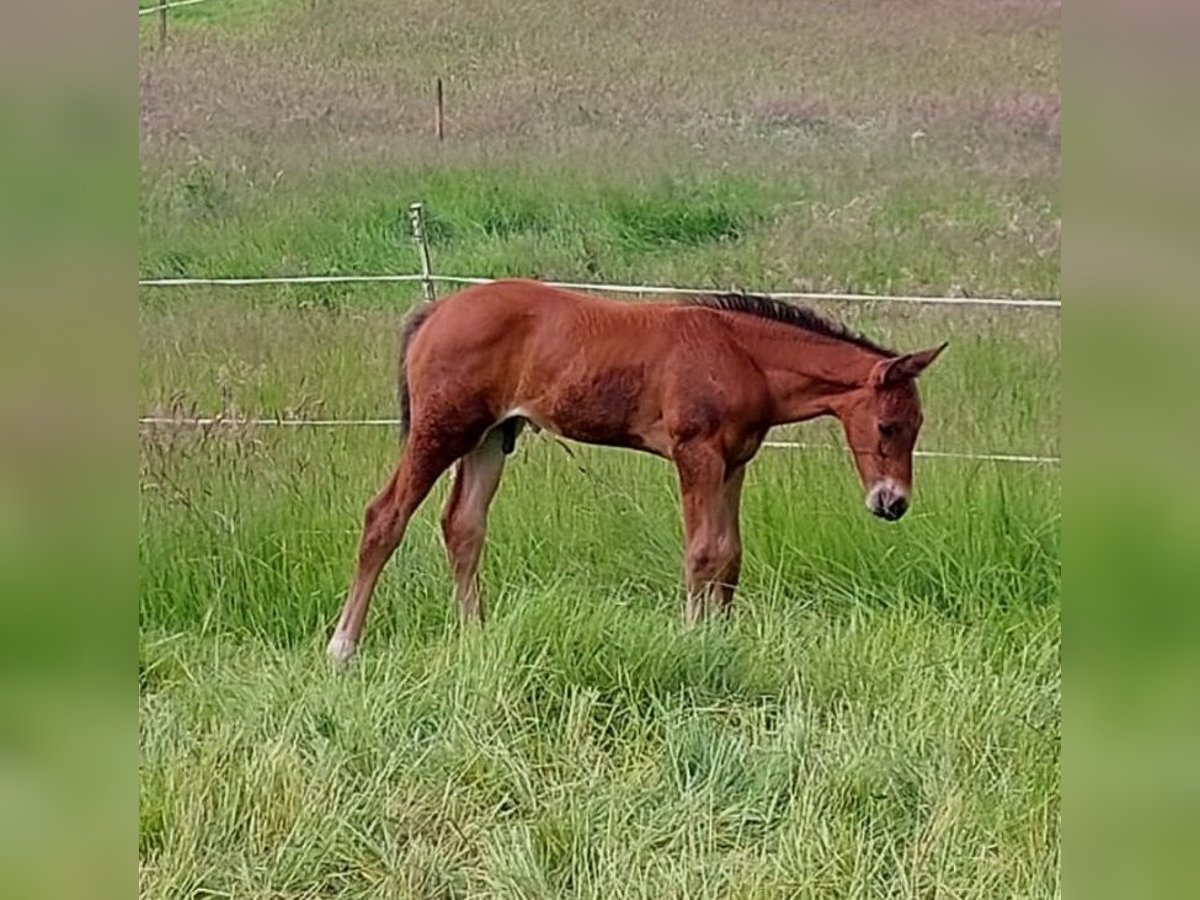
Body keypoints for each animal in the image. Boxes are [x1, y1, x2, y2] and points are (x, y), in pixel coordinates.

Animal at [328, 278, 945, 667]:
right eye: (888, 426)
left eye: (918, 424)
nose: (892, 503)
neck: (741, 356)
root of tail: (436, 311)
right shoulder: (697, 455)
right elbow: (702, 552)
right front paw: (694, 642)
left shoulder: (734, 462)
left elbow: (730, 555)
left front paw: (724, 641)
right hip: (442, 431)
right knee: (385, 516)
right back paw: (343, 648)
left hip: (491, 438)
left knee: (462, 526)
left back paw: (475, 636)